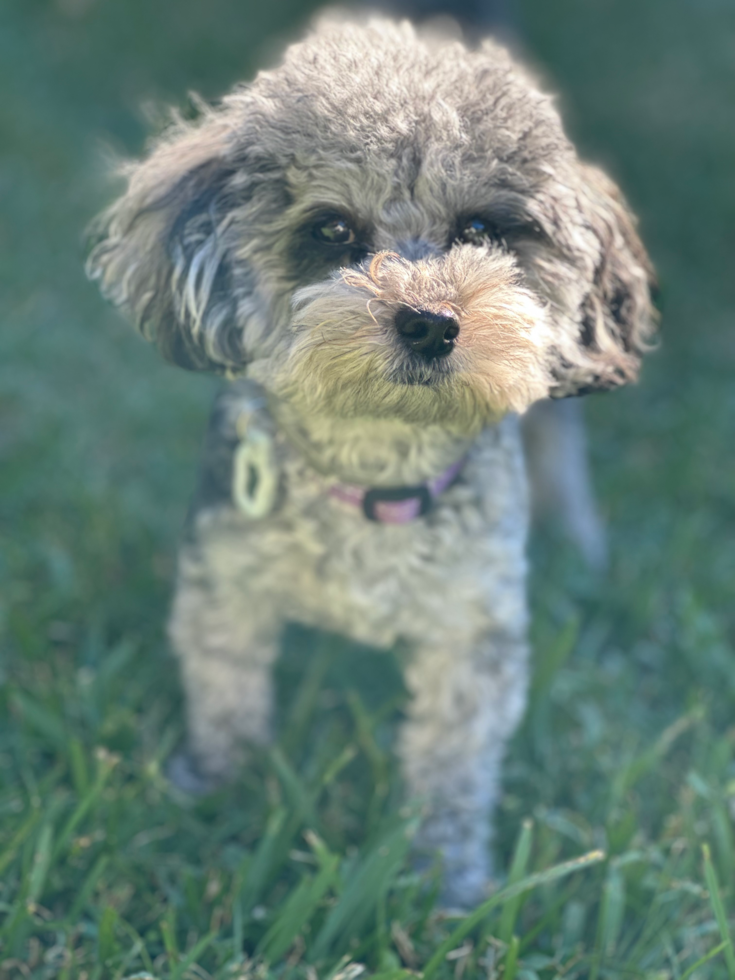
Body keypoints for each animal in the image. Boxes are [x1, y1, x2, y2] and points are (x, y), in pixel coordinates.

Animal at [86, 11, 656, 908]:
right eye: (332, 230)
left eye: (480, 230)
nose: (428, 322)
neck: (373, 469)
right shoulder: (225, 581)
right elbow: (225, 693)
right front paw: (217, 788)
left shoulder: (473, 630)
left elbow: (454, 764)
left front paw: (445, 877)